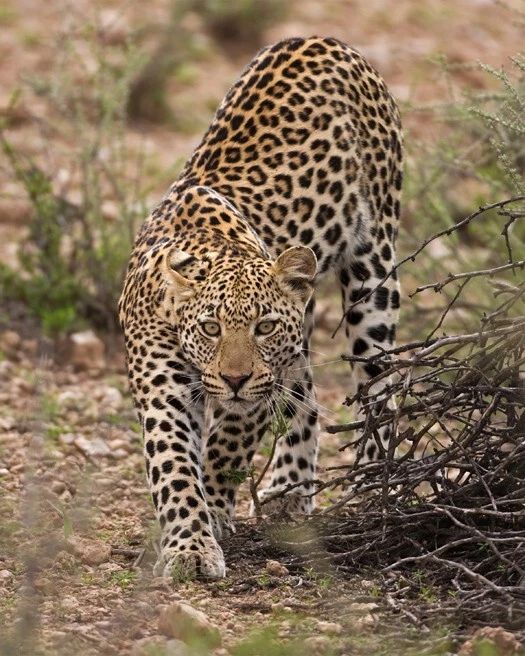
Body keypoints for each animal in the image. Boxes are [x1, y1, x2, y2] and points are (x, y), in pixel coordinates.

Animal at [119, 36, 403, 579]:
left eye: (263, 326)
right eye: (209, 328)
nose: (233, 378)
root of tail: (321, 38)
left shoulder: (259, 385)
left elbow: (224, 446)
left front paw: (211, 513)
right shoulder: (162, 381)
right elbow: (173, 463)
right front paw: (190, 544)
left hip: (375, 269)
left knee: (379, 381)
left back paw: (381, 482)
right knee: (305, 391)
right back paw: (289, 487)